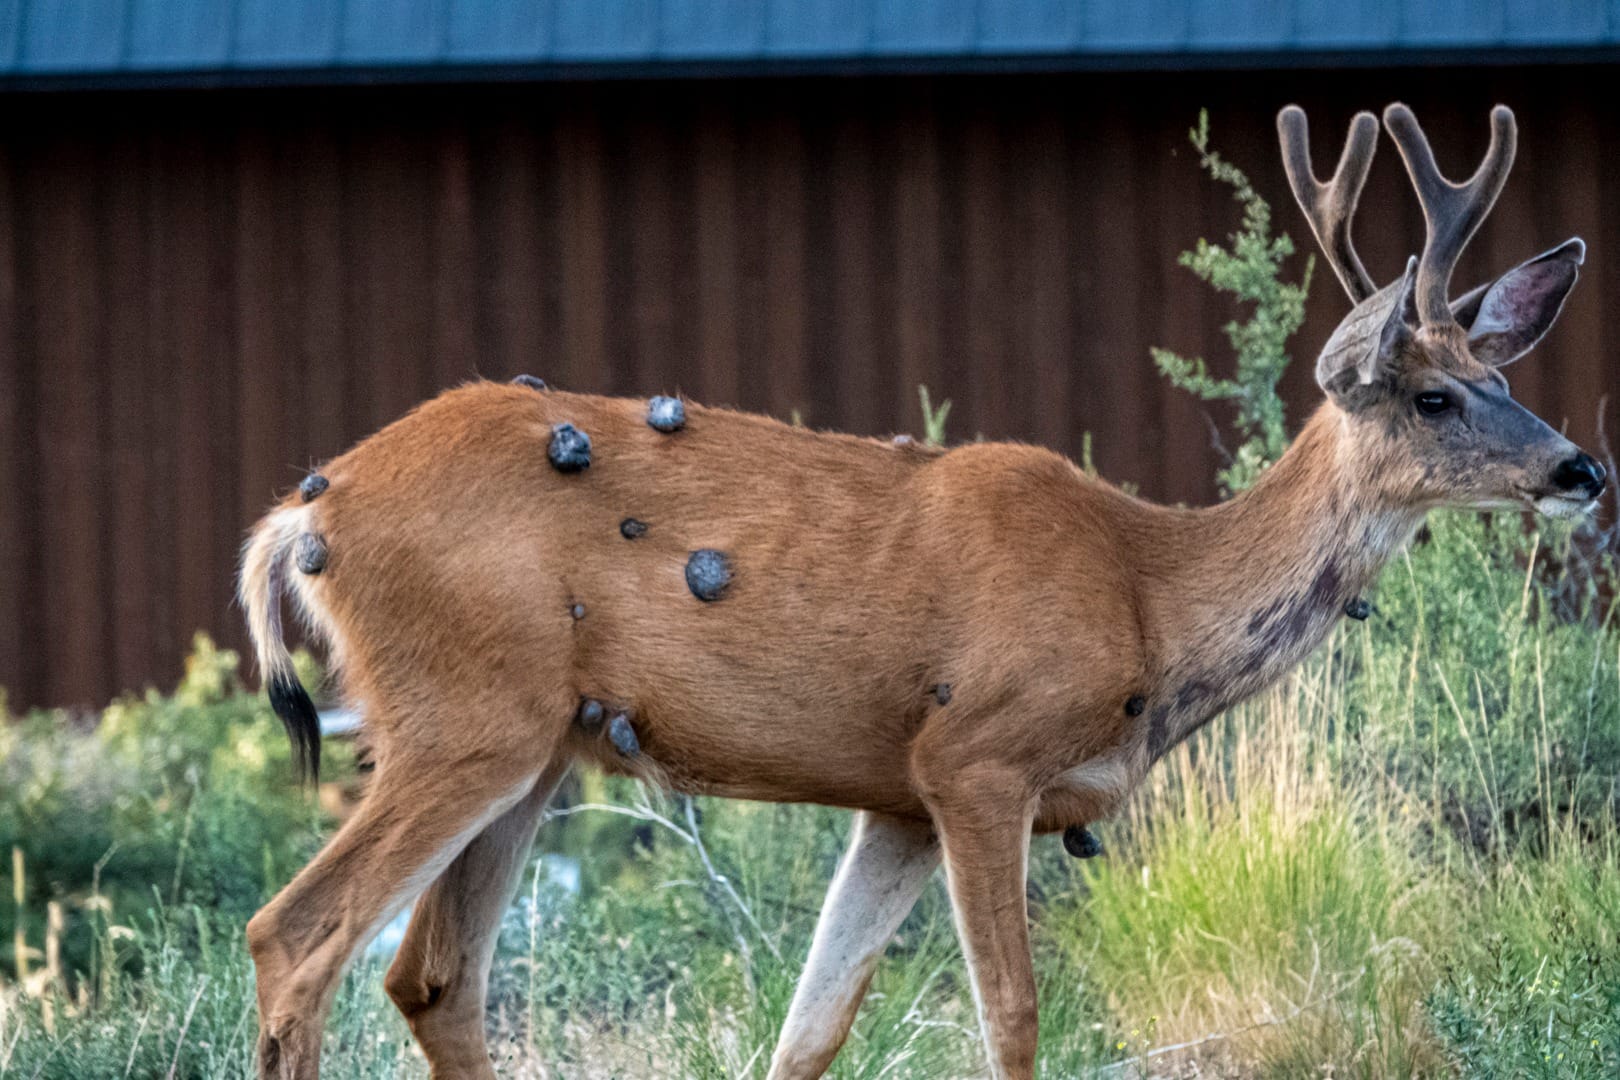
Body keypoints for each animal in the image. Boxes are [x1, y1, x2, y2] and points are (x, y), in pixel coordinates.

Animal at [237, 102, 1603, 1080]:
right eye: (1435, 395)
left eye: (1506, 377)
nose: (1580, 468)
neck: (1149, 592)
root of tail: (305, 512)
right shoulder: (976, 756)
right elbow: (1013, 1016)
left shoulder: (891, 799)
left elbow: (809, 1032)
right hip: (464, 714)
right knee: (295, 936)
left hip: (536, 748)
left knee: (433, 979)